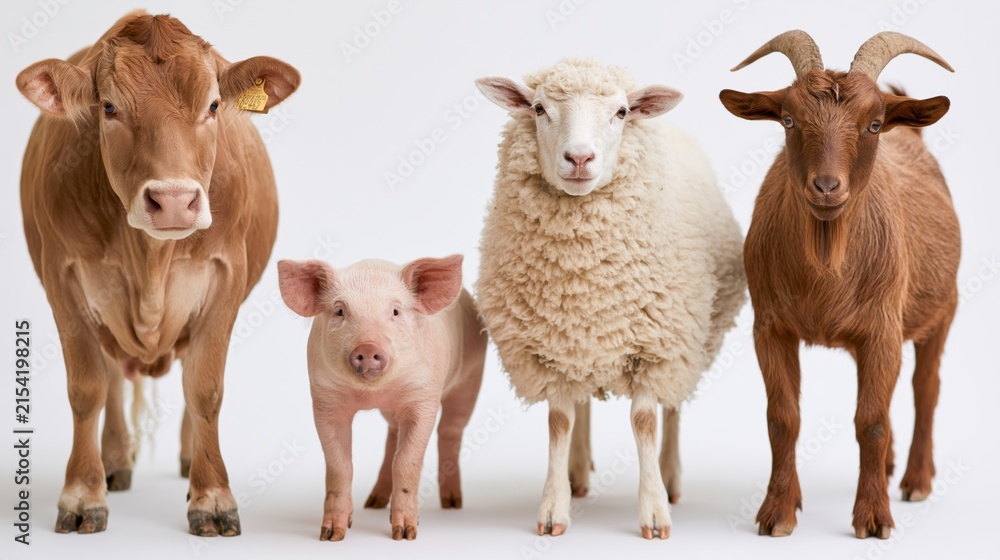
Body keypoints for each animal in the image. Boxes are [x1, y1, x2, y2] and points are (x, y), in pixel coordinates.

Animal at [16, 11, 300, 536]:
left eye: (213, 105)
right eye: (109, 107)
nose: (173, 200)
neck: (148, 256)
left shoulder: (227, 273)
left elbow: (205, 388)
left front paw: (212, 498)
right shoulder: (62, 276)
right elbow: (87, 387)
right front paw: (83, 494)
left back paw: (190, 462)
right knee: (110, 375)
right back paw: (113, 462)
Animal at [475, 58, 746, 539]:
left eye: (621, 112)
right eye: (539, 108)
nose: (580, 158)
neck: (585, 277)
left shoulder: (658, 346)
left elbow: (646, 421)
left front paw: (655, 512)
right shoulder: (548, 348)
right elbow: (559, 421)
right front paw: (554, 507)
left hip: (690, 339)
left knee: (673, 407)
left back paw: (671, 477)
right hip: (579, 341)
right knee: (579, 405)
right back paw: (578, 473)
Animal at [720, 30, 960, 539]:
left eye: (873, 124)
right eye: (788, 119)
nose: (827, 187)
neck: (825, 273)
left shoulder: (883, 328)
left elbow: (870, 421)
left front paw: (873, 517)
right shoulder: (770, 328)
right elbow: (782, 418)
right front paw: (778, 511)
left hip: (943, 308)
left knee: (925, 387)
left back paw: (915, 480)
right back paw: (887, 469)